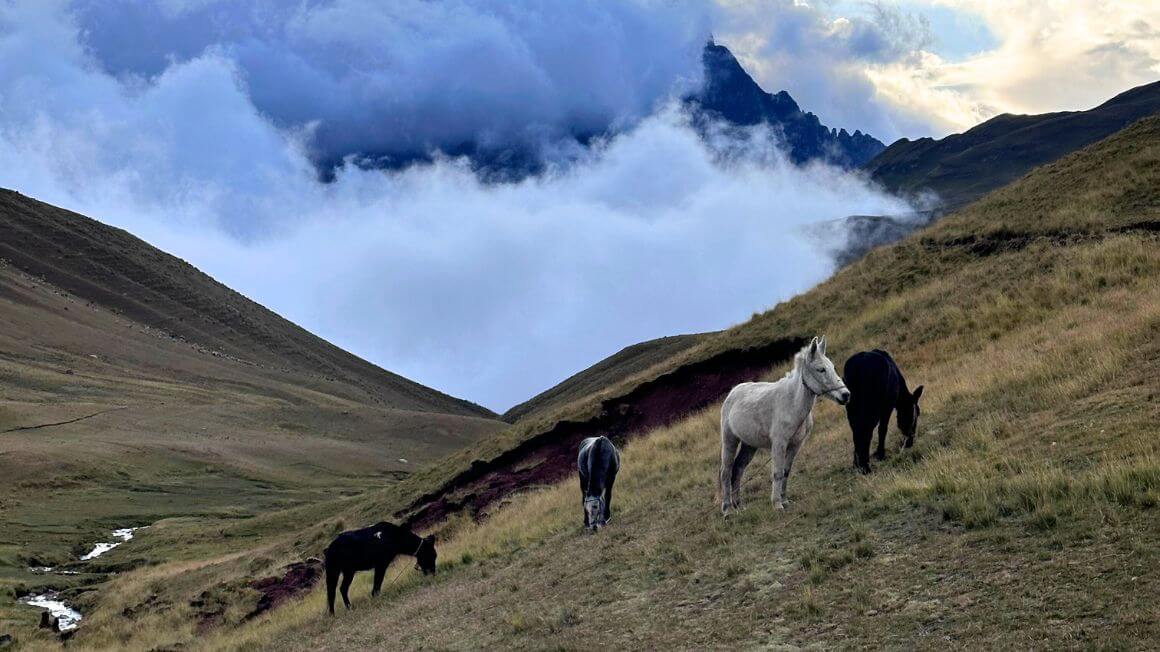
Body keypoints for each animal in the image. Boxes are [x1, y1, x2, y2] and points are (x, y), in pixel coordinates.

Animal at [719, 336, 850, 515]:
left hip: (749, 445)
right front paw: (777, 504)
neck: (792, 403)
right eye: (821, 369)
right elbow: (777, 473)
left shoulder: (795, 445)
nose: (846, 395)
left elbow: (786, 472)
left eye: (832, 367)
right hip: (729, 440)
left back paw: (739, 505)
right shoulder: (779, 444)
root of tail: (732, 392)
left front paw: (785, 501)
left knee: (738, 469)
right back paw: (727, 510)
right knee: (726, 472)